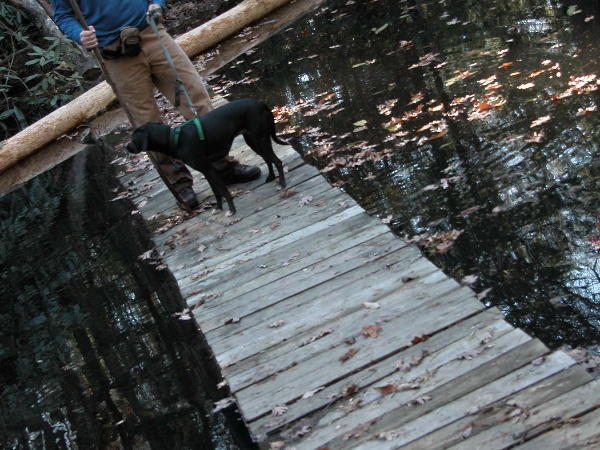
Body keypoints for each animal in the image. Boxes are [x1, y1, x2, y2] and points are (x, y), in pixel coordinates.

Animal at [126, 99, 288, 214]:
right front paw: (218, 207)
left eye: (133, 139)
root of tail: (260, 103)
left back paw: (282, 183)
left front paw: (231, 210)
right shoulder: (206, 170)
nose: (127, 147)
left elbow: (223, 191)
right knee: (268, 160)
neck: (174, 139)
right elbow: (216, 191)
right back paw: (271, 177)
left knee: (277, 161)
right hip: (254, 142)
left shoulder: (209, 169)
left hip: (260, 140)